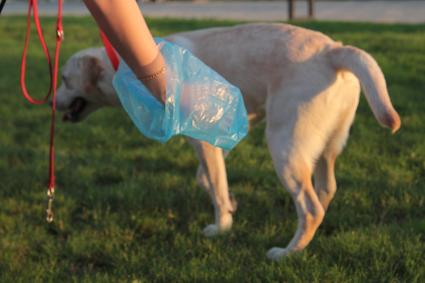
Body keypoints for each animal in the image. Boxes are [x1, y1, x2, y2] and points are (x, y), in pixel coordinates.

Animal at [55, 23, 398, 260]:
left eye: (65, 80)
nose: (51, 102)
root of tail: (332, 49)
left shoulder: (205, 140)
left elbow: (215, 187)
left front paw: (221, 226)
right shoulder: (222, 132)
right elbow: (207, 178)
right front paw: (231, 206)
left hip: (284, 146)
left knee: (311, 207)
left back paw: (287, 253)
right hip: (325, 146)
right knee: (325, 191)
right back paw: (304, 240)